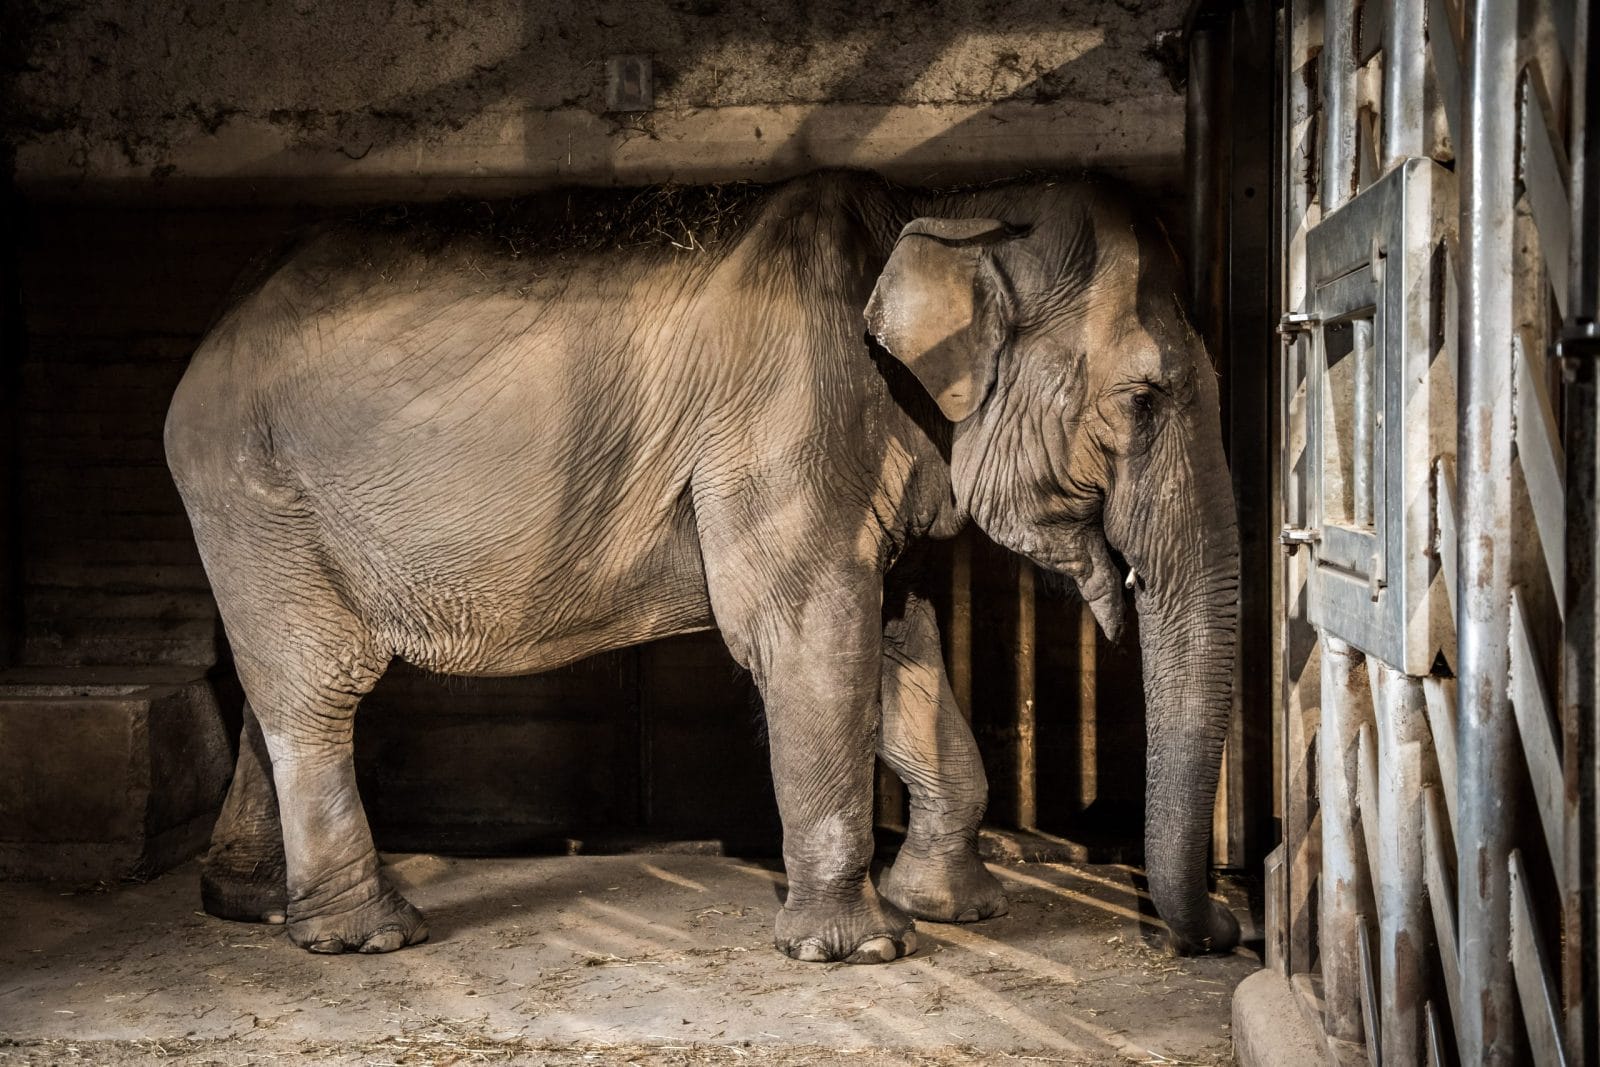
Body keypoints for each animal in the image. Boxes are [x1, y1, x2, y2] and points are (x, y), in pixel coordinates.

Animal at [164, 169, 1241, 963]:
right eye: (1143, 398)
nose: (1224, 930)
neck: (945, 211)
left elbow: (902, 637)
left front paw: (956, 910)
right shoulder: (787, 418)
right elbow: (809, 634)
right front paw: (857, 950)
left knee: (276, 686)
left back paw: (258, 905)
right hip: (254, 487)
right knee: (318, 685)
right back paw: (368, 935)